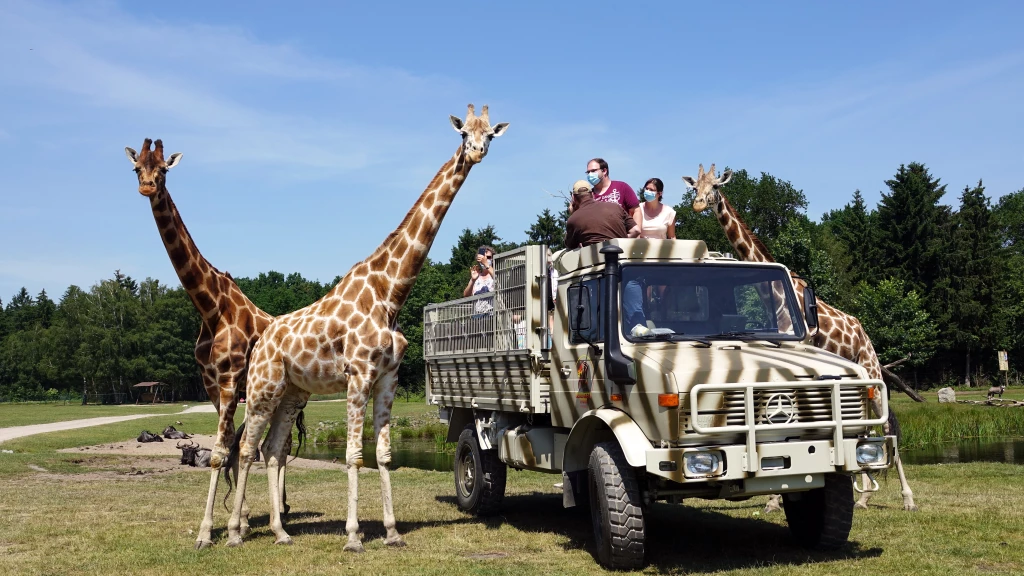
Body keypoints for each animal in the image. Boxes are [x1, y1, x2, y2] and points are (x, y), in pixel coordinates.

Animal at [125, 139, 296, 545]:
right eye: (136, 168)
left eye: (164, 170)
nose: (148, 188)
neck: (210, 307)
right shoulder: (211, 384)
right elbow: (228, 449)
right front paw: (241, 522)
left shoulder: (231, 380)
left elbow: (221, 453)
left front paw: (209, 532)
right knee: (268, 447)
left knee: (278, 448)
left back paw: (283, 511)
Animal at [226, 104, 509, 545]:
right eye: (464, 132)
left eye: (490, 134)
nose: (477, 152)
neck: (388, 293)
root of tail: (262, 338)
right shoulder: (358, 374)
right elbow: (353, 456)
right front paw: (354, 536)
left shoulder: (388, 377)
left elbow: (384, 455)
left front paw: (392, 532)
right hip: (262, 388)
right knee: (245, 449)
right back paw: (235, 532)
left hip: (292, 393)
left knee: (271, 450)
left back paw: (280, 531)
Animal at [679, 161, 921, 510]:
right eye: (694, 187)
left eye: (716, 187)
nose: (698, 205)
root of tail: (864, 334)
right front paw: (774, 497)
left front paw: (775, 498)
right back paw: (862, 498)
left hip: (871, 369)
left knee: (885, 424)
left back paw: (907, 499)